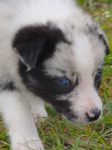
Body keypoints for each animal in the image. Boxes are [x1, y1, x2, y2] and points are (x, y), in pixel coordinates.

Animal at [0, 0, 109, 150]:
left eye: (97, 76)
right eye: (63, 81)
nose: (95, 115)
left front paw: (35, 109)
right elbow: (18, 109)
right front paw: (28, 143)